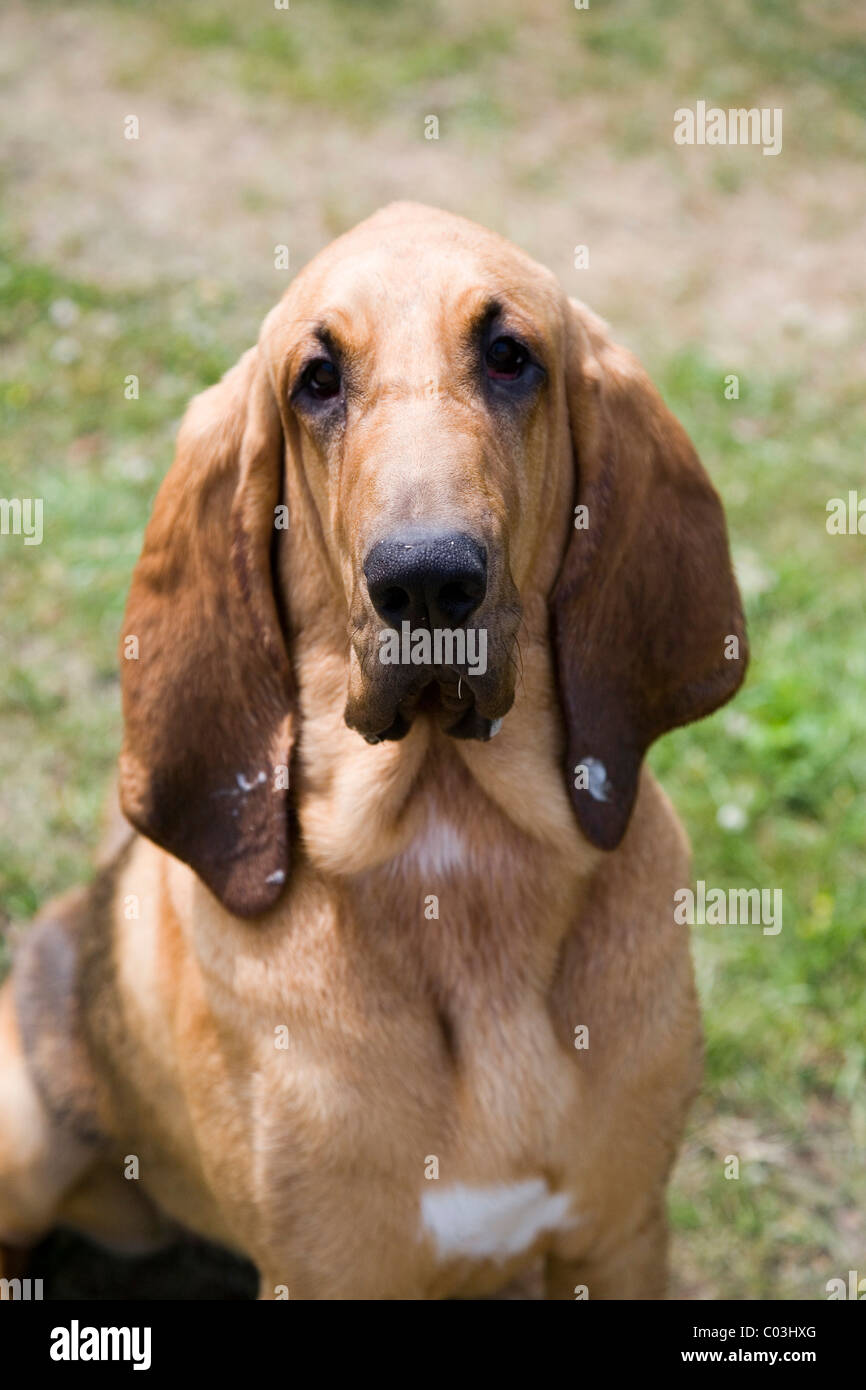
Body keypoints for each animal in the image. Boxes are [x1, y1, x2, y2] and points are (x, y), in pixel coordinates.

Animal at [0, 201, 745, 1295]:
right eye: (316, 378)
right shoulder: (329, 1270)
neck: (452, 847)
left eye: (511, 357)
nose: (426, 579)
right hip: (25, 1137)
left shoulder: (618, 1238)